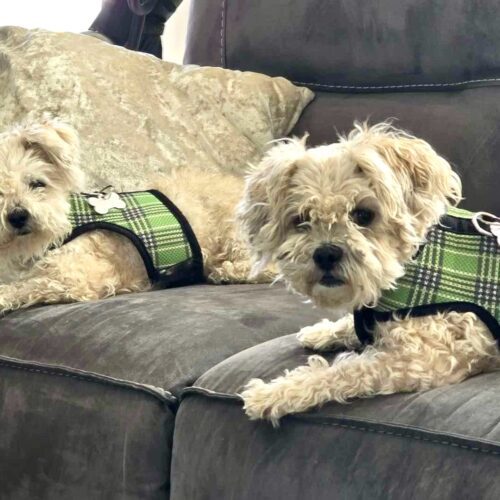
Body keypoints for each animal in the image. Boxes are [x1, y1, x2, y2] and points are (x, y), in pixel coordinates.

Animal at [0, 118, 266, 310]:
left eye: (37, 184)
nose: (18, 216)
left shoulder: (73, 281)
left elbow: (24, 286)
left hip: (236, 233)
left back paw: (227, 272)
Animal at [237, 122, 500, 426]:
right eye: (301, 219)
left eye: (363, 215)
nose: (326, 253)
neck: (410, 260)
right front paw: (322, 332)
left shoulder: (426, 359)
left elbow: (346, 371)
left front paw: (274, 394)